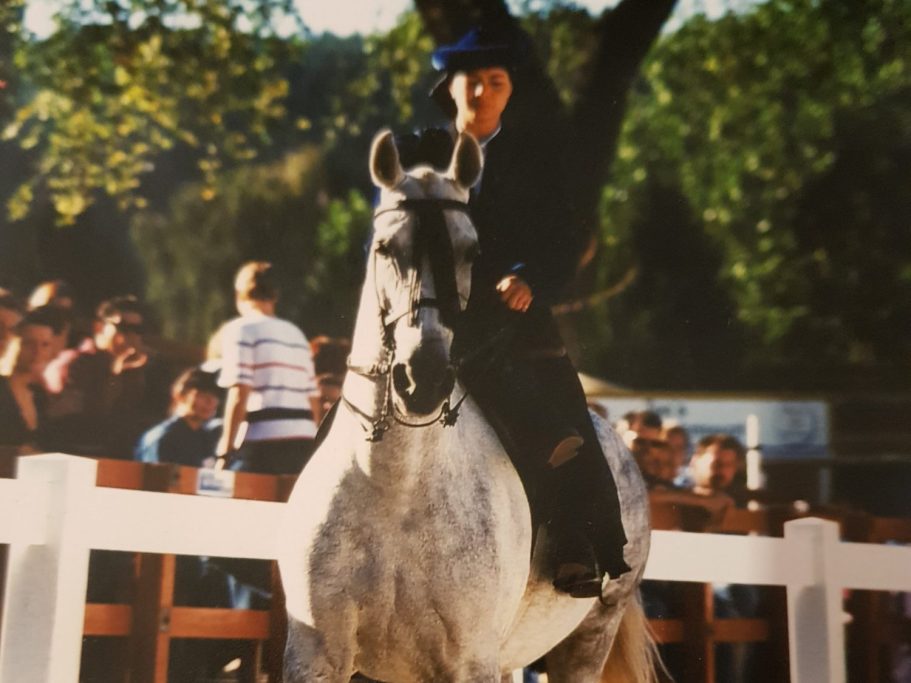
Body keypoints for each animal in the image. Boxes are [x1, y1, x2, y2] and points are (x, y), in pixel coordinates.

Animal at [278, 129, 656, 683]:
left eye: (471, 250)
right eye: (385, 247)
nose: (422, 378)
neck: (395, 487)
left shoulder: (468, 662)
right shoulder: (316, 655)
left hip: (586, 641)